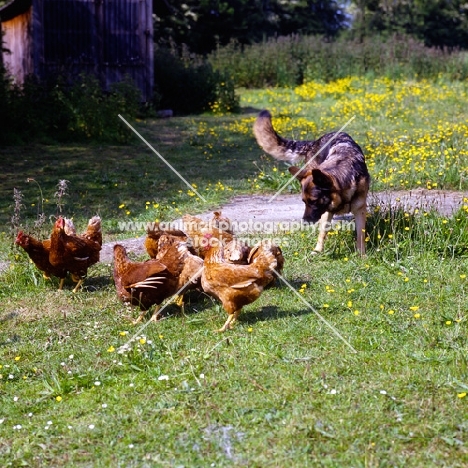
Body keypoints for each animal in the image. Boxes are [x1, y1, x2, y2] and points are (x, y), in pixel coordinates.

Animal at [254, 109, 372, 254]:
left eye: (314, 201)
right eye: (304, 201)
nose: (304, 222)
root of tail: (313, 142)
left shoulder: (360, 210)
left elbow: (361, 235)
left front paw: (362, 255)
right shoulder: (326, 211)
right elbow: (322, 232)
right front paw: (317, 251)